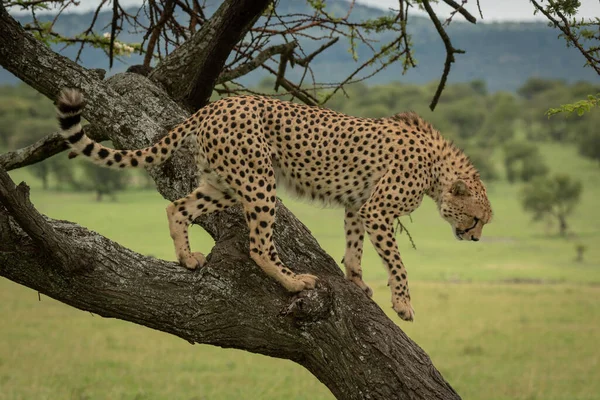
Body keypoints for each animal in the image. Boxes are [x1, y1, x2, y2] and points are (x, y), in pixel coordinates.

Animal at [56, 89, 492, 320]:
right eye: (475, 219)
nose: (474, 239)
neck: (438, 169)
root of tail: (217, 104)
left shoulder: (358, 204)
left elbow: (354, 246)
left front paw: (356, 280)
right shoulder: (378, 210)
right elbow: (397, 263)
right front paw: (402, 303)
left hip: (226, 183)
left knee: (177, 206)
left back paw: (187, 258)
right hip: (260, 182)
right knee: (259, 245)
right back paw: (293, 281)